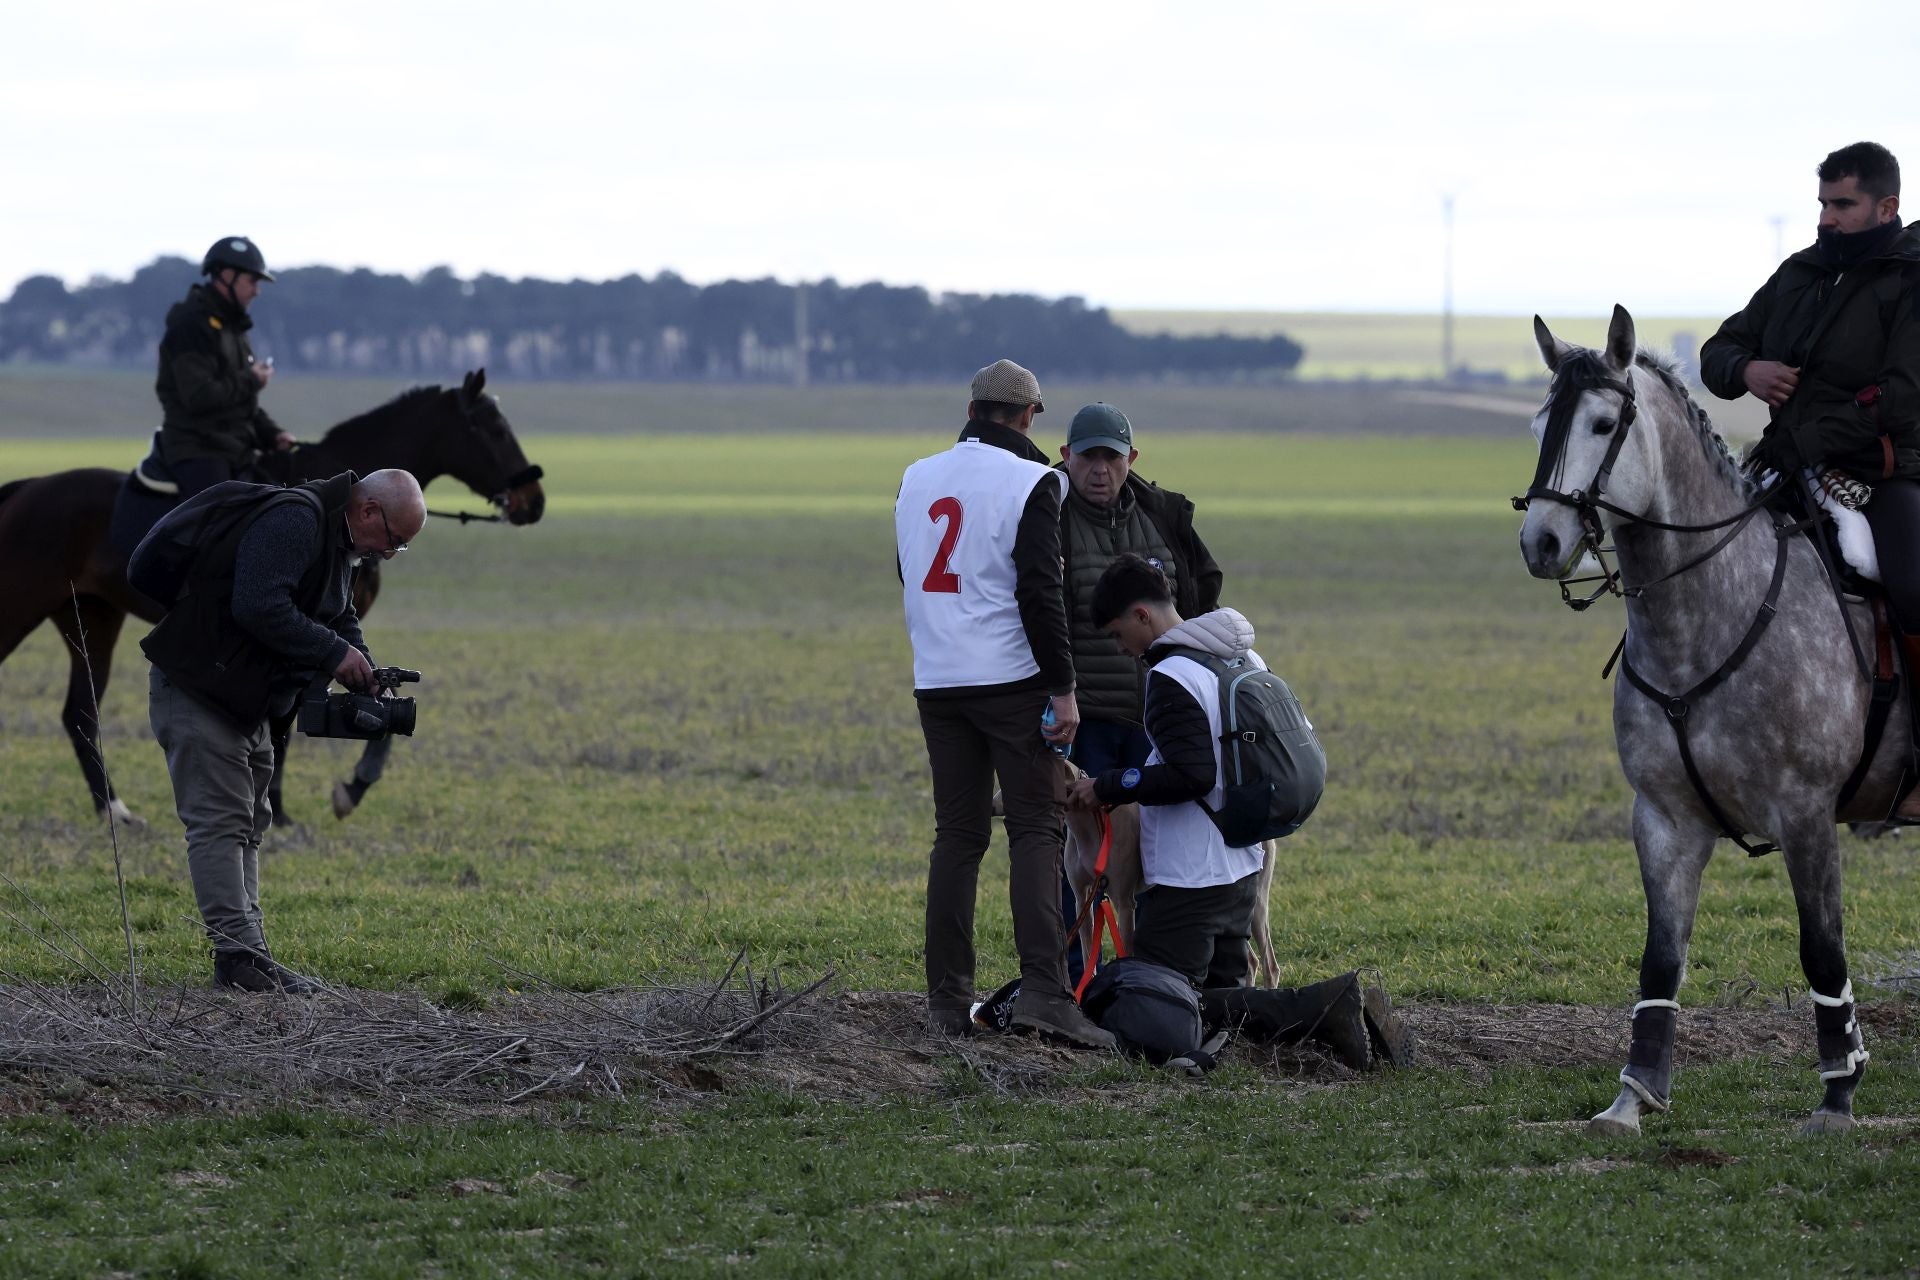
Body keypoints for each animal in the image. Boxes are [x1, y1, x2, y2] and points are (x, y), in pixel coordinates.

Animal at [0, 364, 545, 825]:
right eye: (495, 430)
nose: (534, 501)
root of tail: (29, 487)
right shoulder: (303, 627)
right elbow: (299, 718)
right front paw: (294, 806)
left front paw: (339, 789)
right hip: (25, 607)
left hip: (92, 619)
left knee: (79, 712)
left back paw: (112, 809)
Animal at [1512, 305, 1904, 1136]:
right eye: (1539, 425)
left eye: (1602, 424)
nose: (1543, 543)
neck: (1705, 617)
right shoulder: (1665, 819)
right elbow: (1661, 959)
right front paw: (1633, 1095)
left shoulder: (1806, 815)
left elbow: (1822, 951)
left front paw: (1838, 1092)